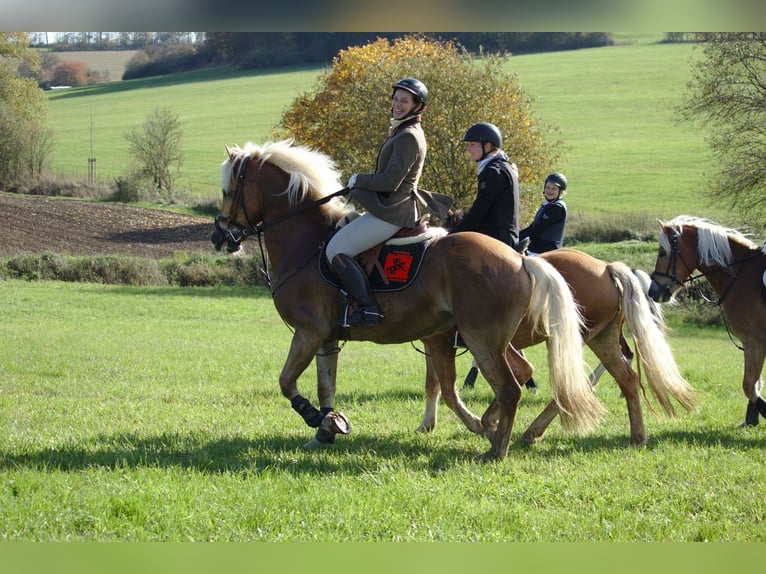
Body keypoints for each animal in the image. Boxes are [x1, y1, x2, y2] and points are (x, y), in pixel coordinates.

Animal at [212, 140, 608, 464]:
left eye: (228, 190)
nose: (220, 237)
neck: (306, 240)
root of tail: (520, 259)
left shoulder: (308, 332)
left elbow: (286, 382)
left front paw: (315, 418)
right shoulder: (326, 337)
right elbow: (327, 385)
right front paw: (327, 428)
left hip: (481, 338)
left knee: (510, 387)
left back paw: (495, 448)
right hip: (489, 338)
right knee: (514, 377)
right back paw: (495, 431)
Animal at [420, 250, 704, 448]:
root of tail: (607, 268)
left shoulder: (442, 342)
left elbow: (444, 386)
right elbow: (434, 384)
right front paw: (428, 424)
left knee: (572, 385)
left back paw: (531, 429)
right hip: (601, 338)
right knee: (625, 377)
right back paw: (636, 435)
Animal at [648, 217, 766, 432]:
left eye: (662, 252)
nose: (653, 291)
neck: (742, 275)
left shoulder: (755, 342)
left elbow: (749, 385)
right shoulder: (752, 343)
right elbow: (755, 384)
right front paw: (750, 420)